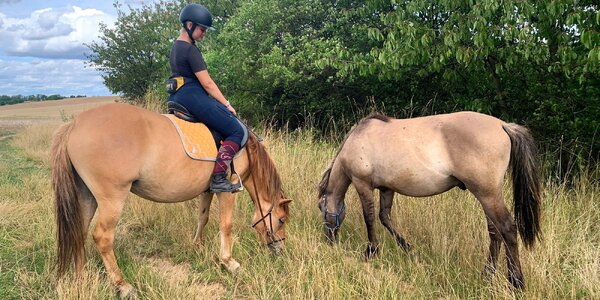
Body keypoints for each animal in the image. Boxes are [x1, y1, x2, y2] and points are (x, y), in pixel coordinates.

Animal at [50, 103, 290, 298]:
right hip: (112, 199)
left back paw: (81, 277)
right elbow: (226, 225)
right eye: (281, 220)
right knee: (102, 237)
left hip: (86, 196)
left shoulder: (208, 190)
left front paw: (196, 246)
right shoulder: (228, 191)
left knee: (79, 232)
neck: (246, 151)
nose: (279, 249)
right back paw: (123, 285)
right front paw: (229, 262)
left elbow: (203, 217)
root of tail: (74, 124)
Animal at [318, 112, 544, 288]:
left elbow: (370, 218)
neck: (357, 140)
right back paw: (487, 275)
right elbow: (385, 217)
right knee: (495, 232)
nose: (329, 241)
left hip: (487, 194)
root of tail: (502, 125)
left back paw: (516, 283)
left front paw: (371, 252)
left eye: (321, 208)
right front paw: (409, 249)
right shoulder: (387, 189)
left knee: (507, 229)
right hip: (486, 196)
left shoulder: (362, 184)